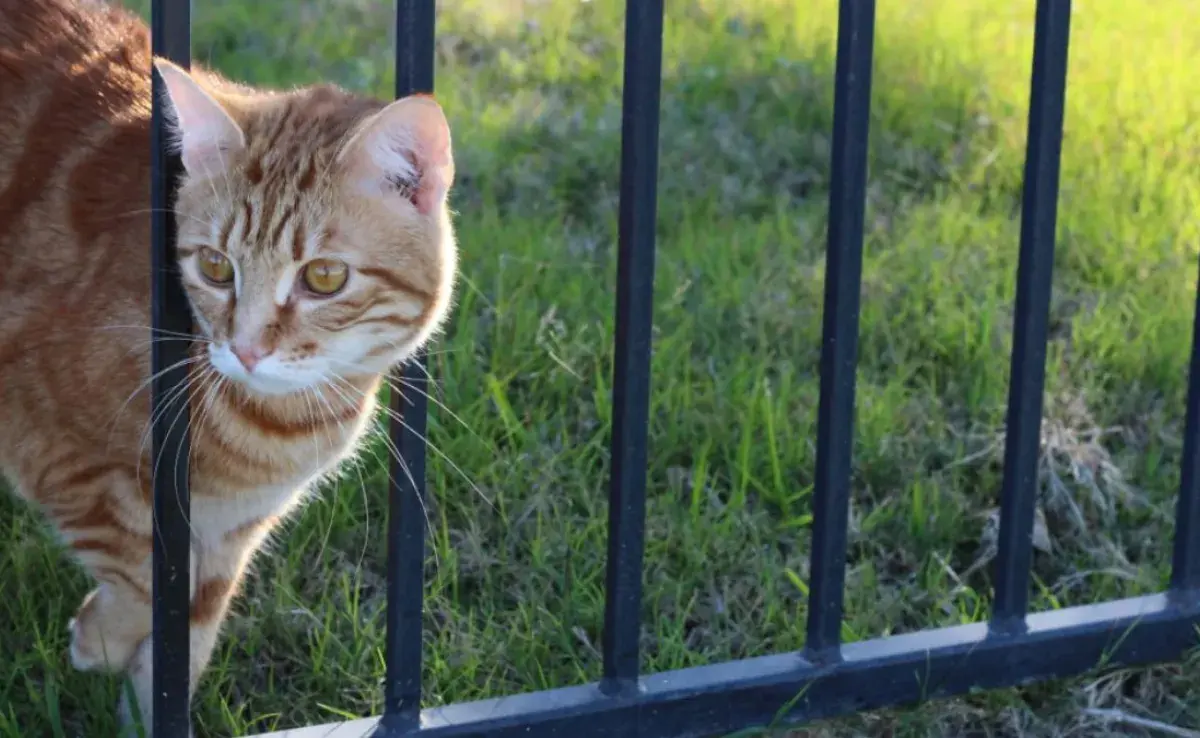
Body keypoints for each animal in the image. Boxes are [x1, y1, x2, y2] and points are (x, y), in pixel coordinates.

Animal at [0, 0, 456, 734]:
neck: (271, 430)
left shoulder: (235, 533)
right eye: (215, 266)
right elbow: (145, 573)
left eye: (324, 277)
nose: (245, 348)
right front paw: (101, 637)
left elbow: (187, 632)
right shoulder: (51, 443)